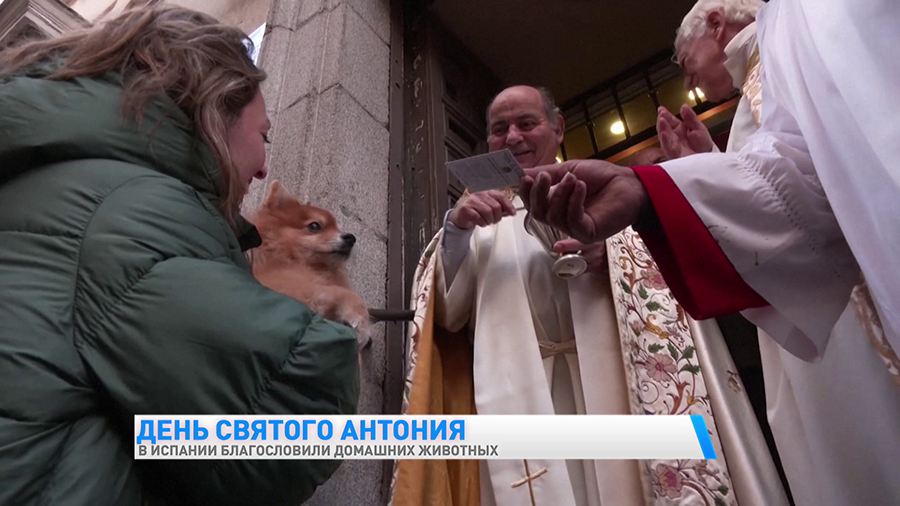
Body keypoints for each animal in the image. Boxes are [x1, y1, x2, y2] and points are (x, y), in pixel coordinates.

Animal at [251, 180, 370, 350]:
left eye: (338, 228)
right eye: (315, 226)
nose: (351, 237)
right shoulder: (290, 289)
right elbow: (345, 294)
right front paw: (362, 323)